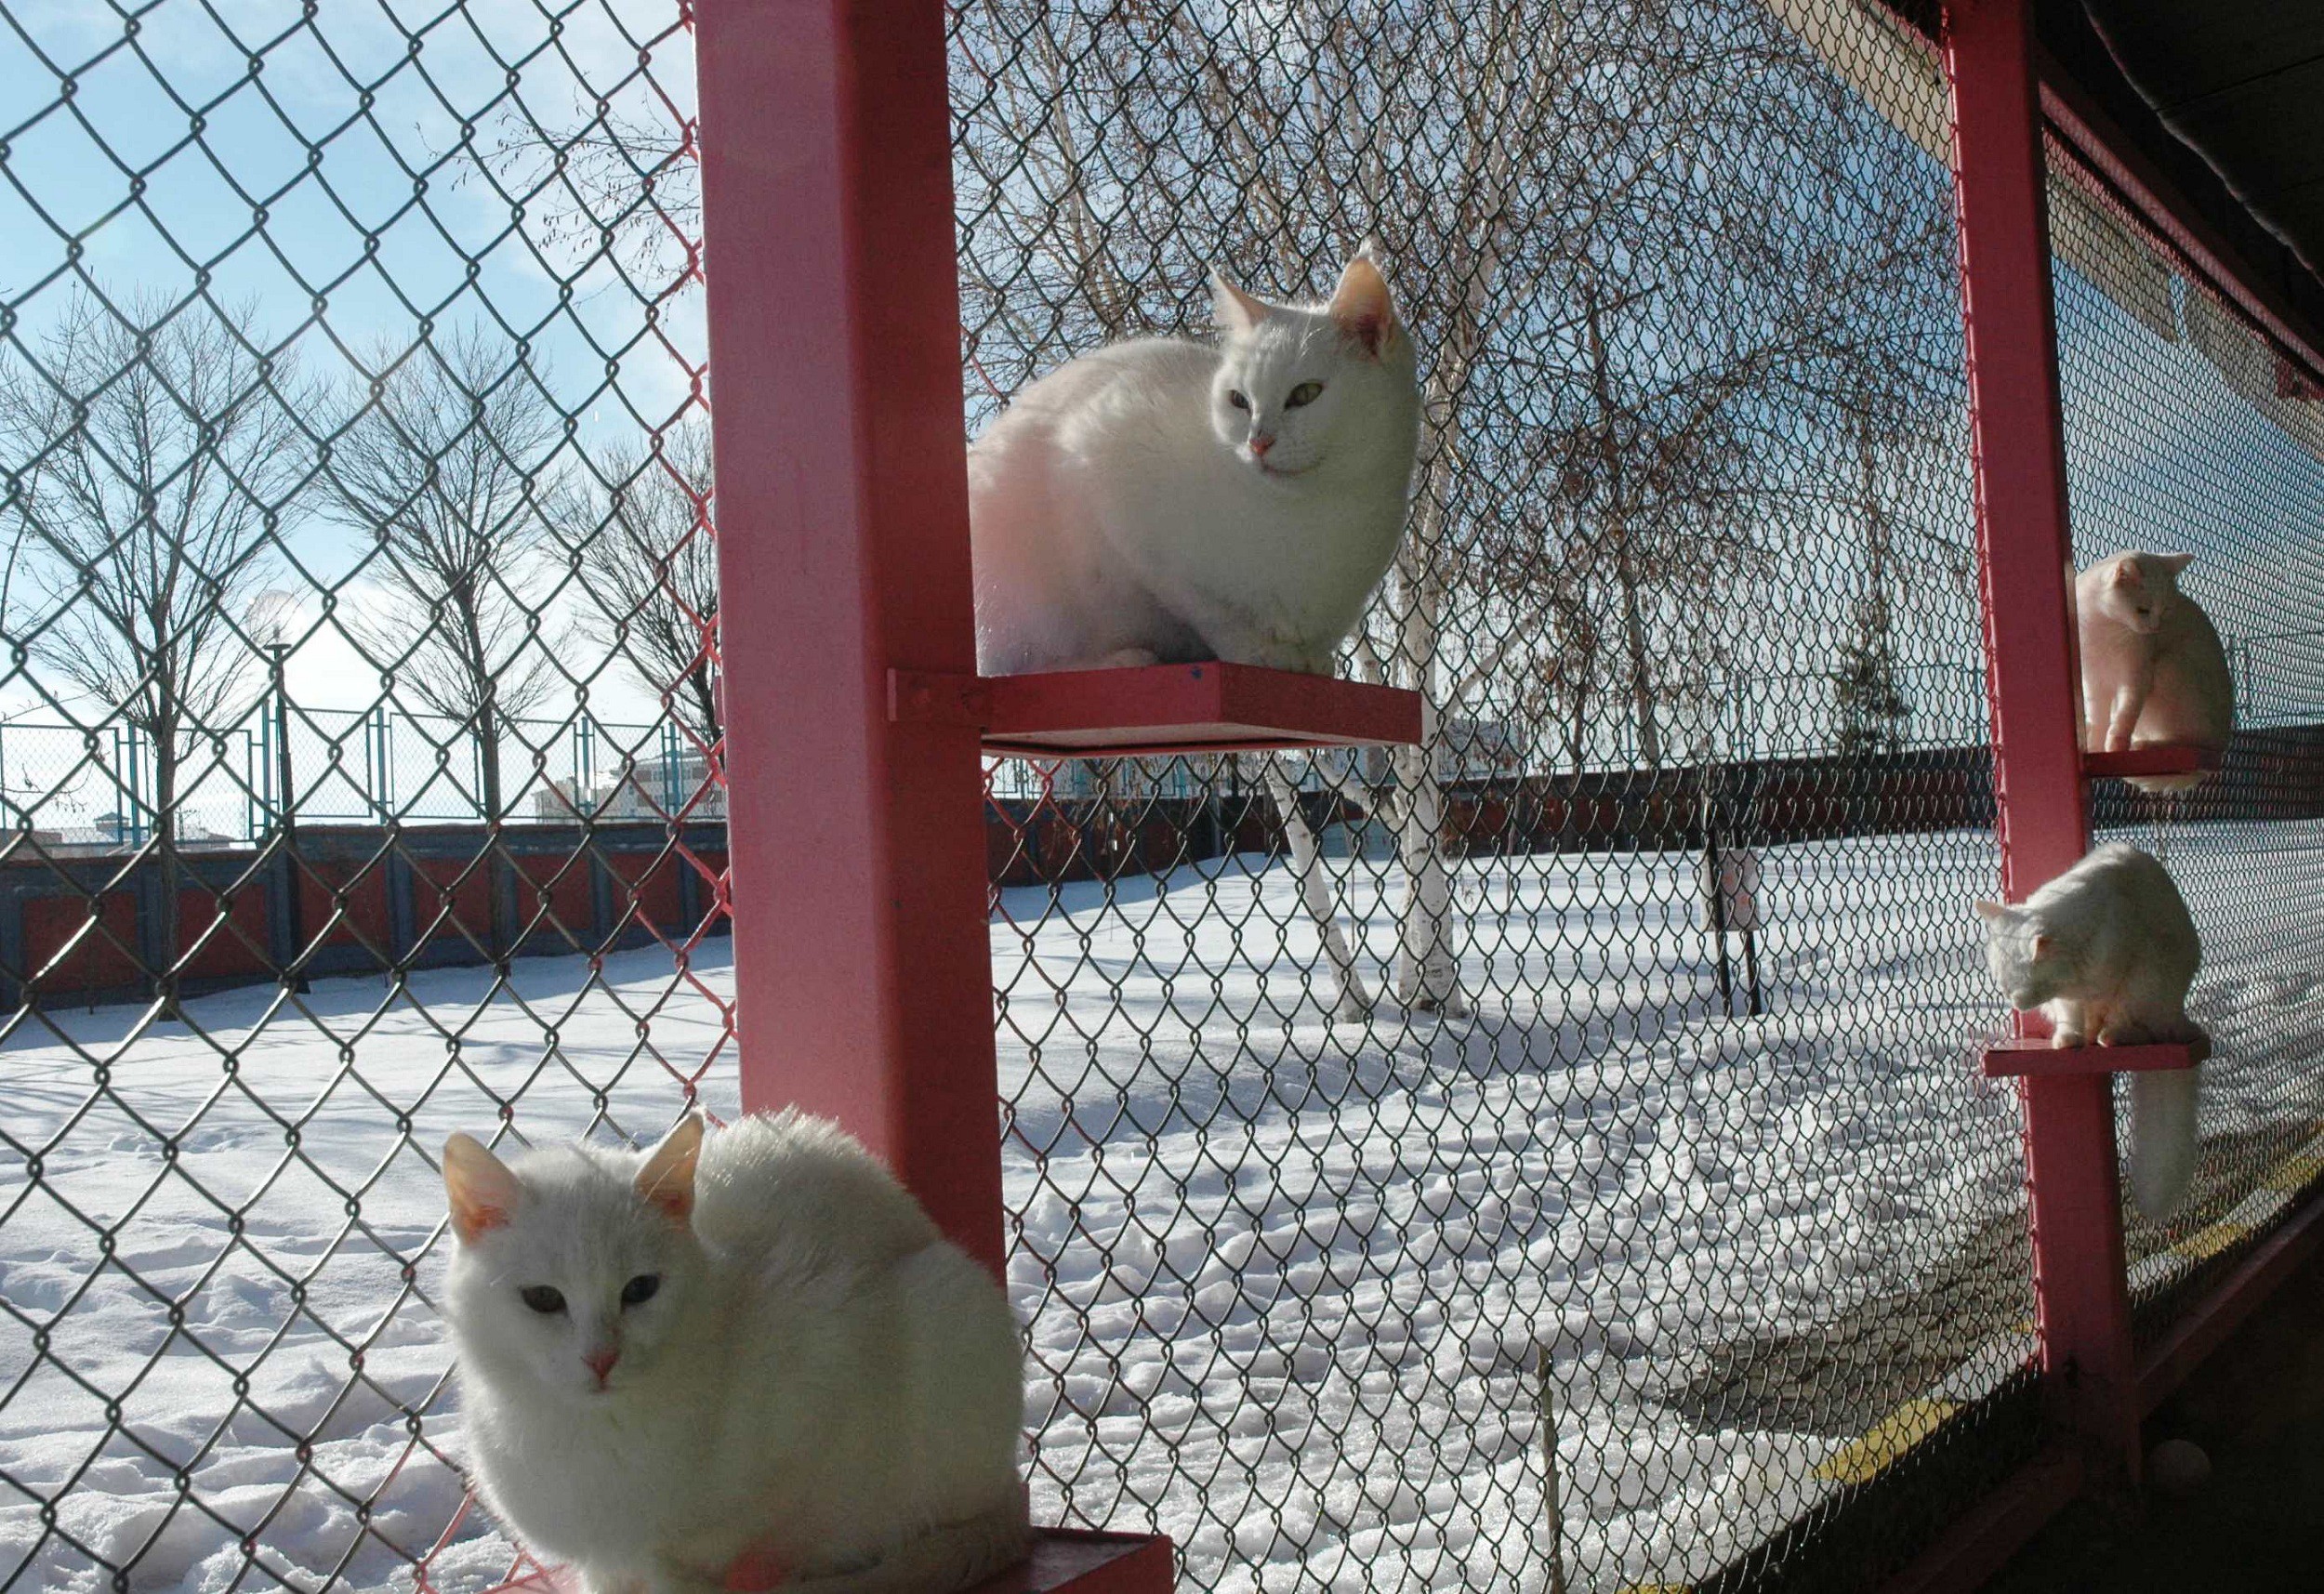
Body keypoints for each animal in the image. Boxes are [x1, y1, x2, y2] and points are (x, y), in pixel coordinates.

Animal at [443, 1111, 1027, 1594]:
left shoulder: (825, 1379)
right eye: (543, 1299)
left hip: (951, 1305)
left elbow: (736, 1537)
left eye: (641, 1289)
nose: (601, 1358)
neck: (594, 1435)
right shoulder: (600, 1554)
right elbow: (614, 1572)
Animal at [962, 246, 1413, 678]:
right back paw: (1120, 659)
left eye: (1305, 395)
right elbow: (1207, 609)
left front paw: (1312, 660)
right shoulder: (1107, 473)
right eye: (1239, 400)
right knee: (1009, 669)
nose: (1257, 443)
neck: (1313, 514)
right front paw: (1257, 651)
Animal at [2073, 553, 2231, 795]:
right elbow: (2098, 719)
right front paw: (2094, 748)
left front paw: (2116, 745)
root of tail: (2219, 750)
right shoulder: (2094, 683)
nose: (2155, 628)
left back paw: (2146, 745)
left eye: (2166, 609)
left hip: (2167, 667)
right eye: (2143, 610)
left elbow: (2125, 715)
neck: (2106, 626)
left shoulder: (2136, 677)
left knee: (2188, 740)